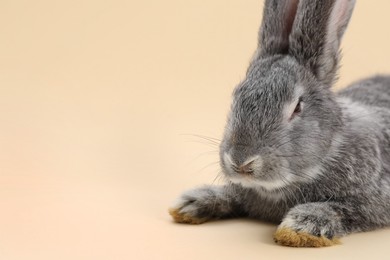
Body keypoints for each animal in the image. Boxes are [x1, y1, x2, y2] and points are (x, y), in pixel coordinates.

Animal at [170, 0, 390, 248]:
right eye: (236, 96)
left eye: (297, 107)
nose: (241, 162)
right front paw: (190, 203)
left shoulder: (374, 200)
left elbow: (341, 209)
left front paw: (299, 228)